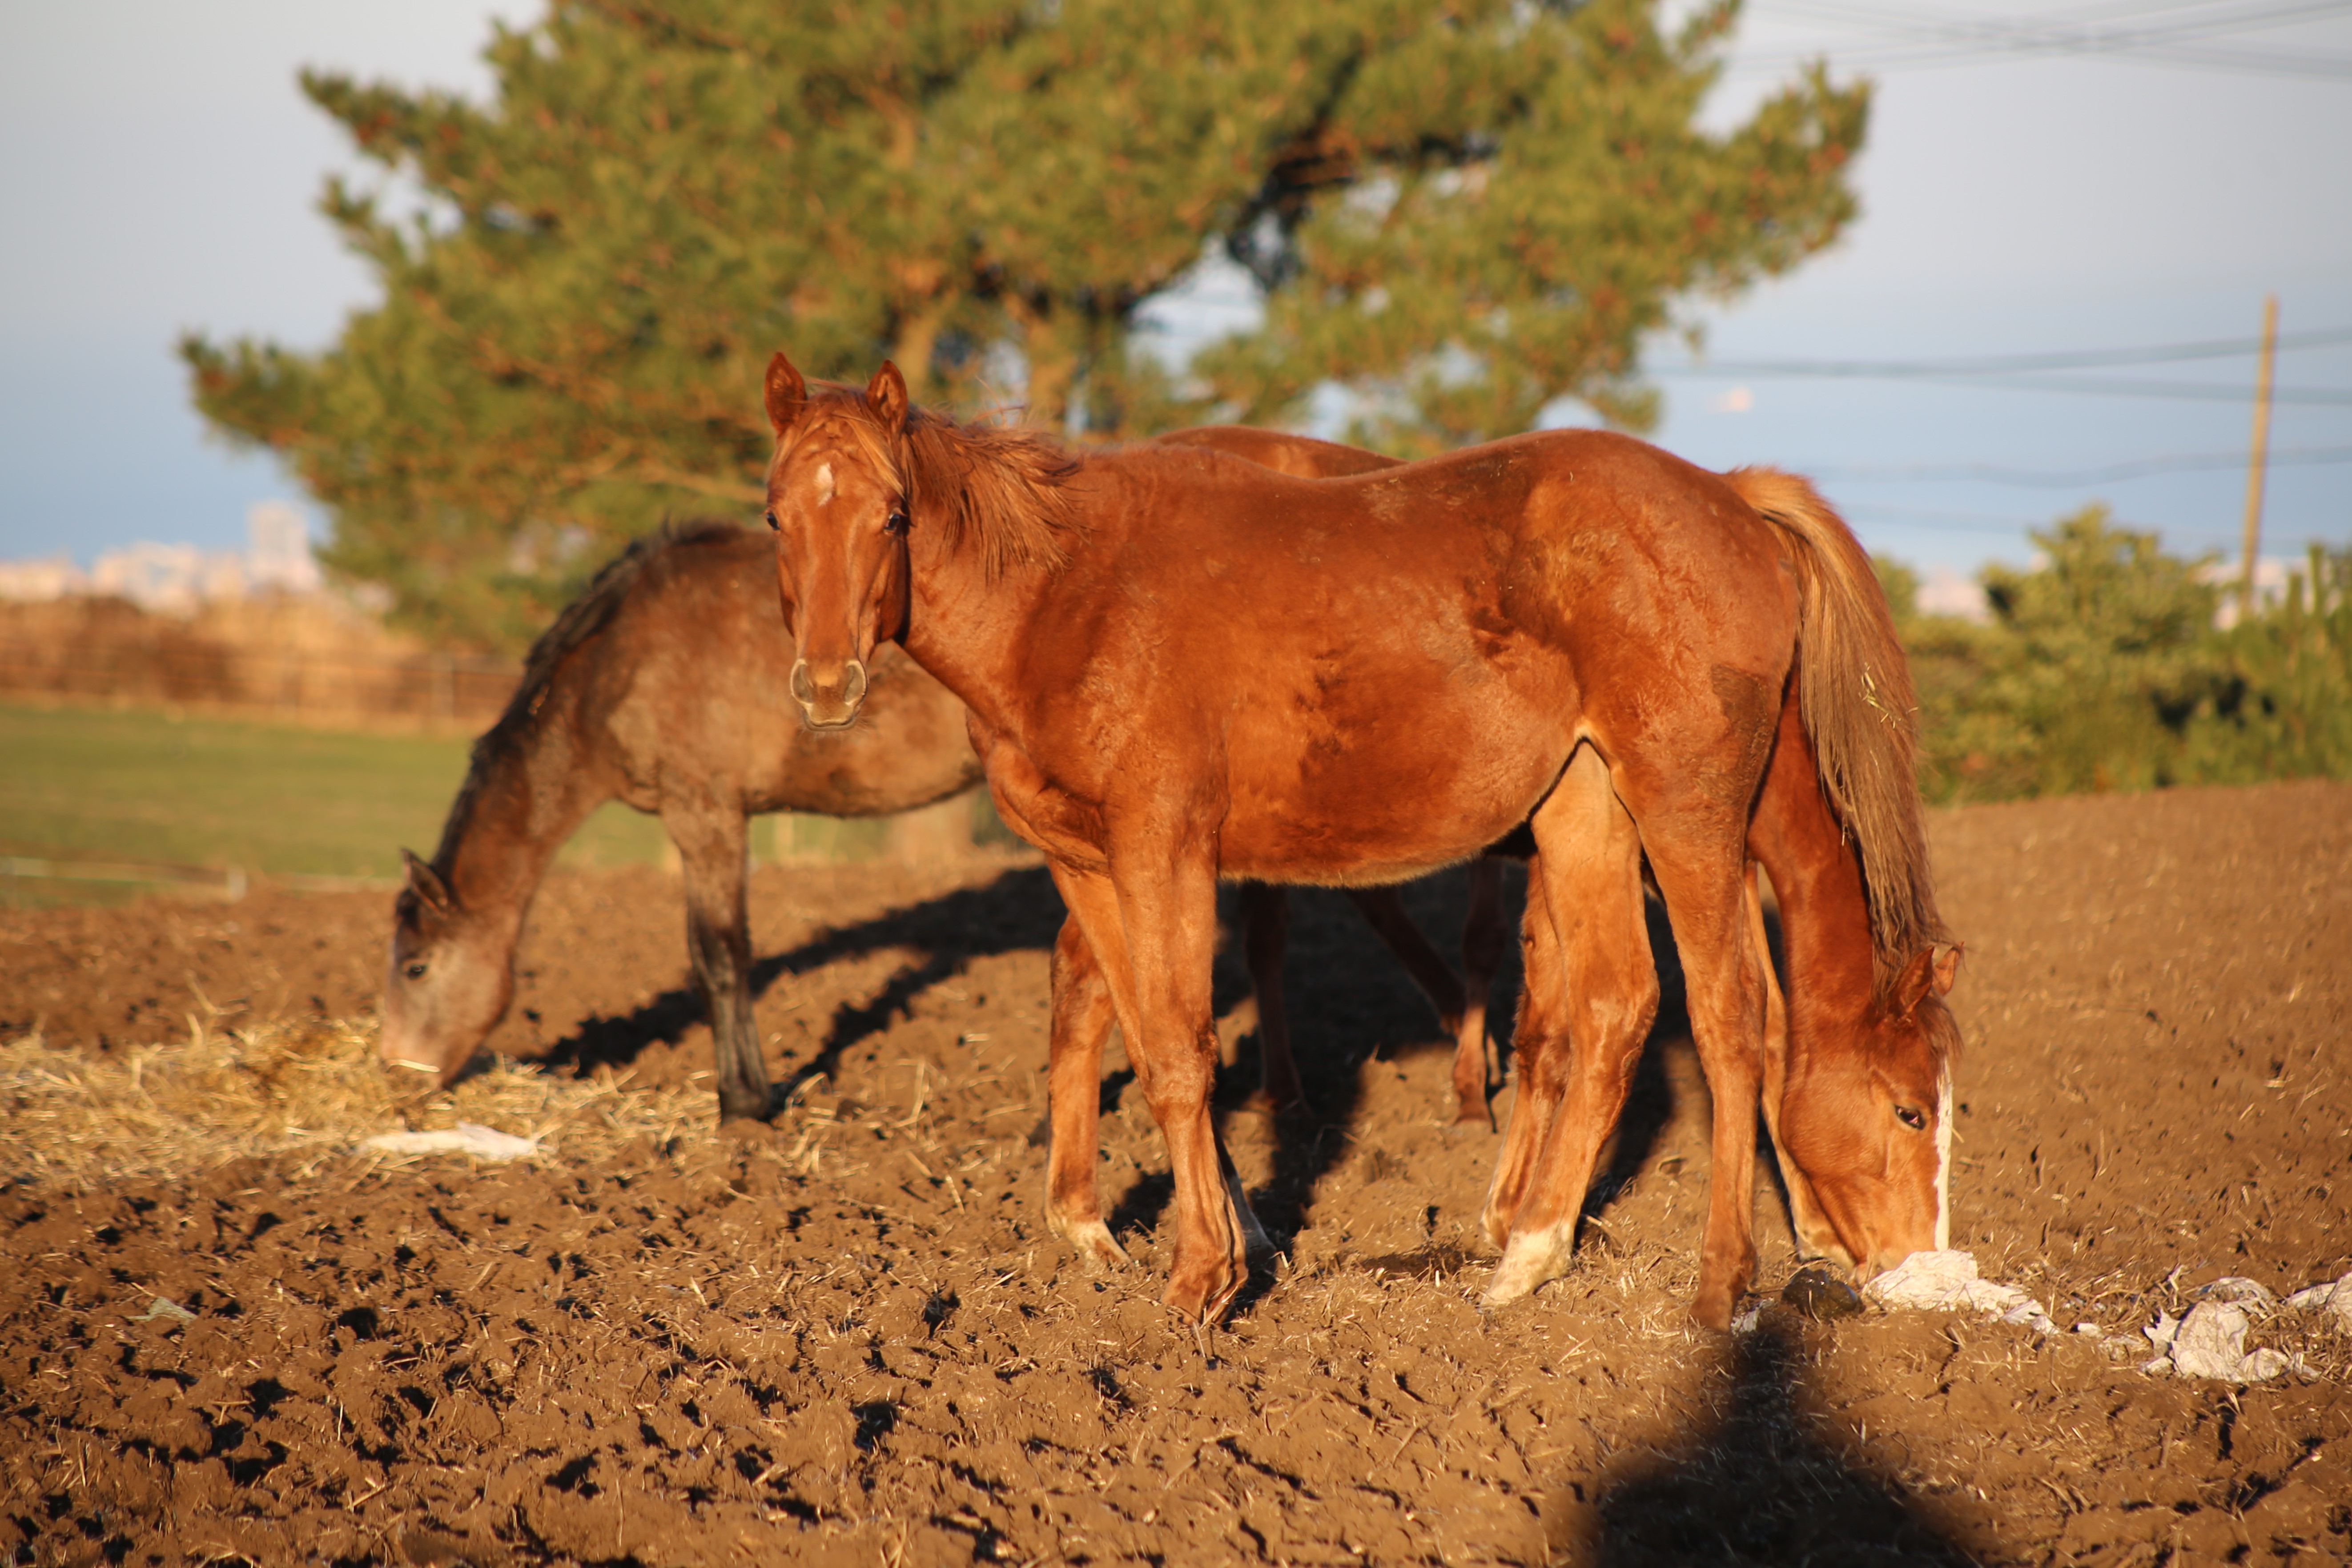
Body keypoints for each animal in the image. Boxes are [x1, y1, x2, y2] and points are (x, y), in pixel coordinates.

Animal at [762, 355, 1957, 1326]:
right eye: (776, 516)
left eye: (892, 515)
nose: (822, 685)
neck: (1070, 595)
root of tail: (1728, 496)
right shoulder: (1086, 862)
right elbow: (1143, 1044)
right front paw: (1202, 1243)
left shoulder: (1164, 851)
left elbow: (1183, 1055)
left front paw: (1201, 1279)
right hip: (1588, 810)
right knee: (1625, 1004)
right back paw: (1527, 1257)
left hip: (1683, 814)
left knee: (1731, 1019)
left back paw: (1717, 1286)